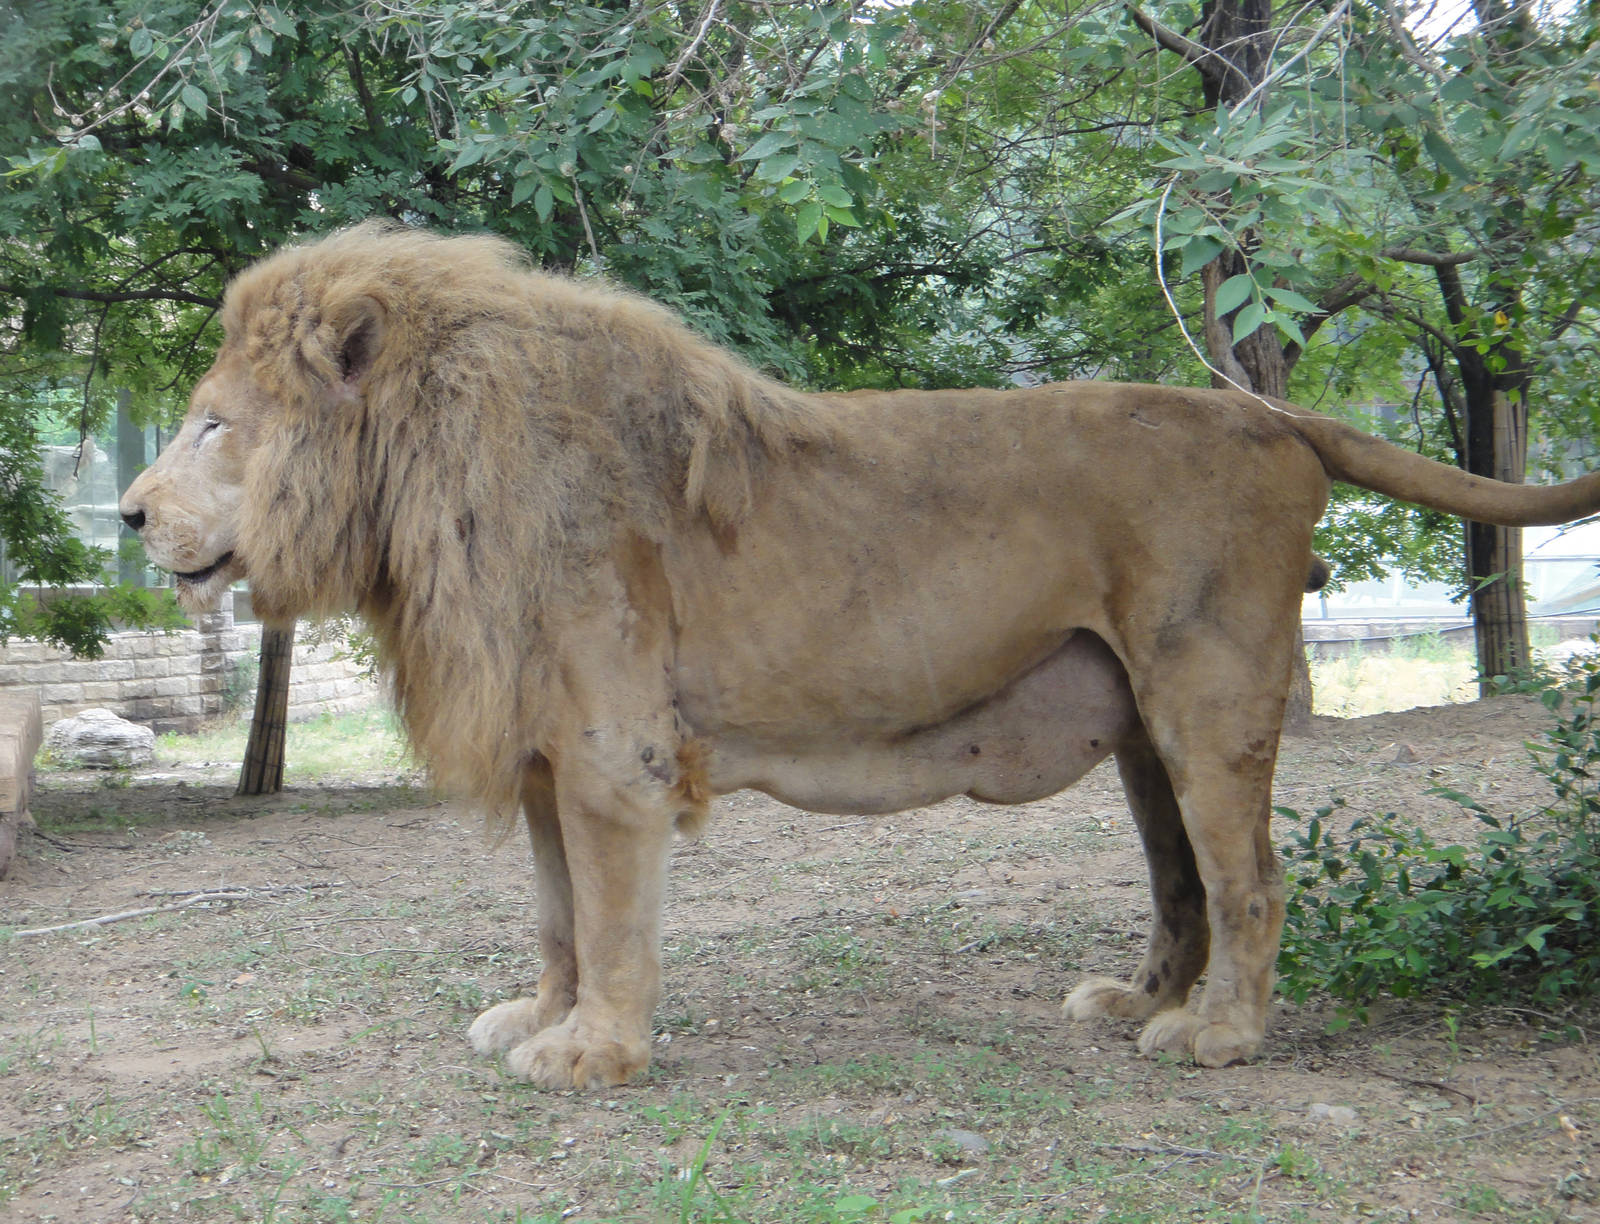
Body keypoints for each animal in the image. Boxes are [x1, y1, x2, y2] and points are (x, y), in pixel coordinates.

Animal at [120, 224, 1600, 1089]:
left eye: (211, 425)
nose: (128, 516)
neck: (422, 473)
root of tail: (1277, 420)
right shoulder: (544, 748)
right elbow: (554, 917)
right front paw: (542, 1022)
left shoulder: (612, 751)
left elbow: (608, 919)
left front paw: (598, 1053)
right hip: (1139, 721)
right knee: (1181, 877)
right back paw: (1135, 999)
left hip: (1208, 693)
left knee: (1251, 880)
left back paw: (1218, 1037)